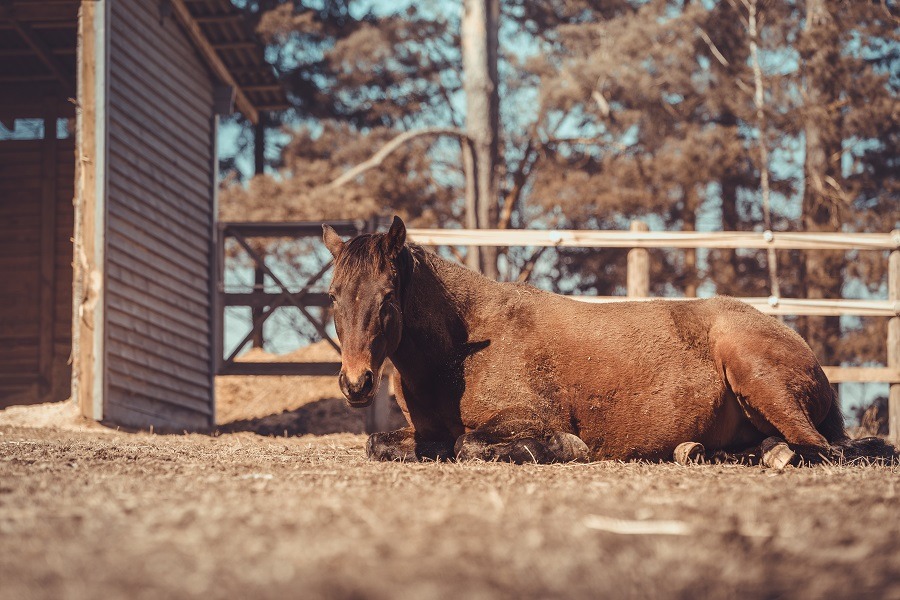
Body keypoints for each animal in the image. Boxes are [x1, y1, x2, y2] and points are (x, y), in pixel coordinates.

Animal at [322, 218, 892, 466]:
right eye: (332, 296)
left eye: (388, 297)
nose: (355, 384)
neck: (462, 351)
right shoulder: (422, 430)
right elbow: (382, 443)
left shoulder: (528, 420)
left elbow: (470, 445)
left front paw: (564, 449)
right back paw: (702, 452)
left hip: (755, 372)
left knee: (822, 450)